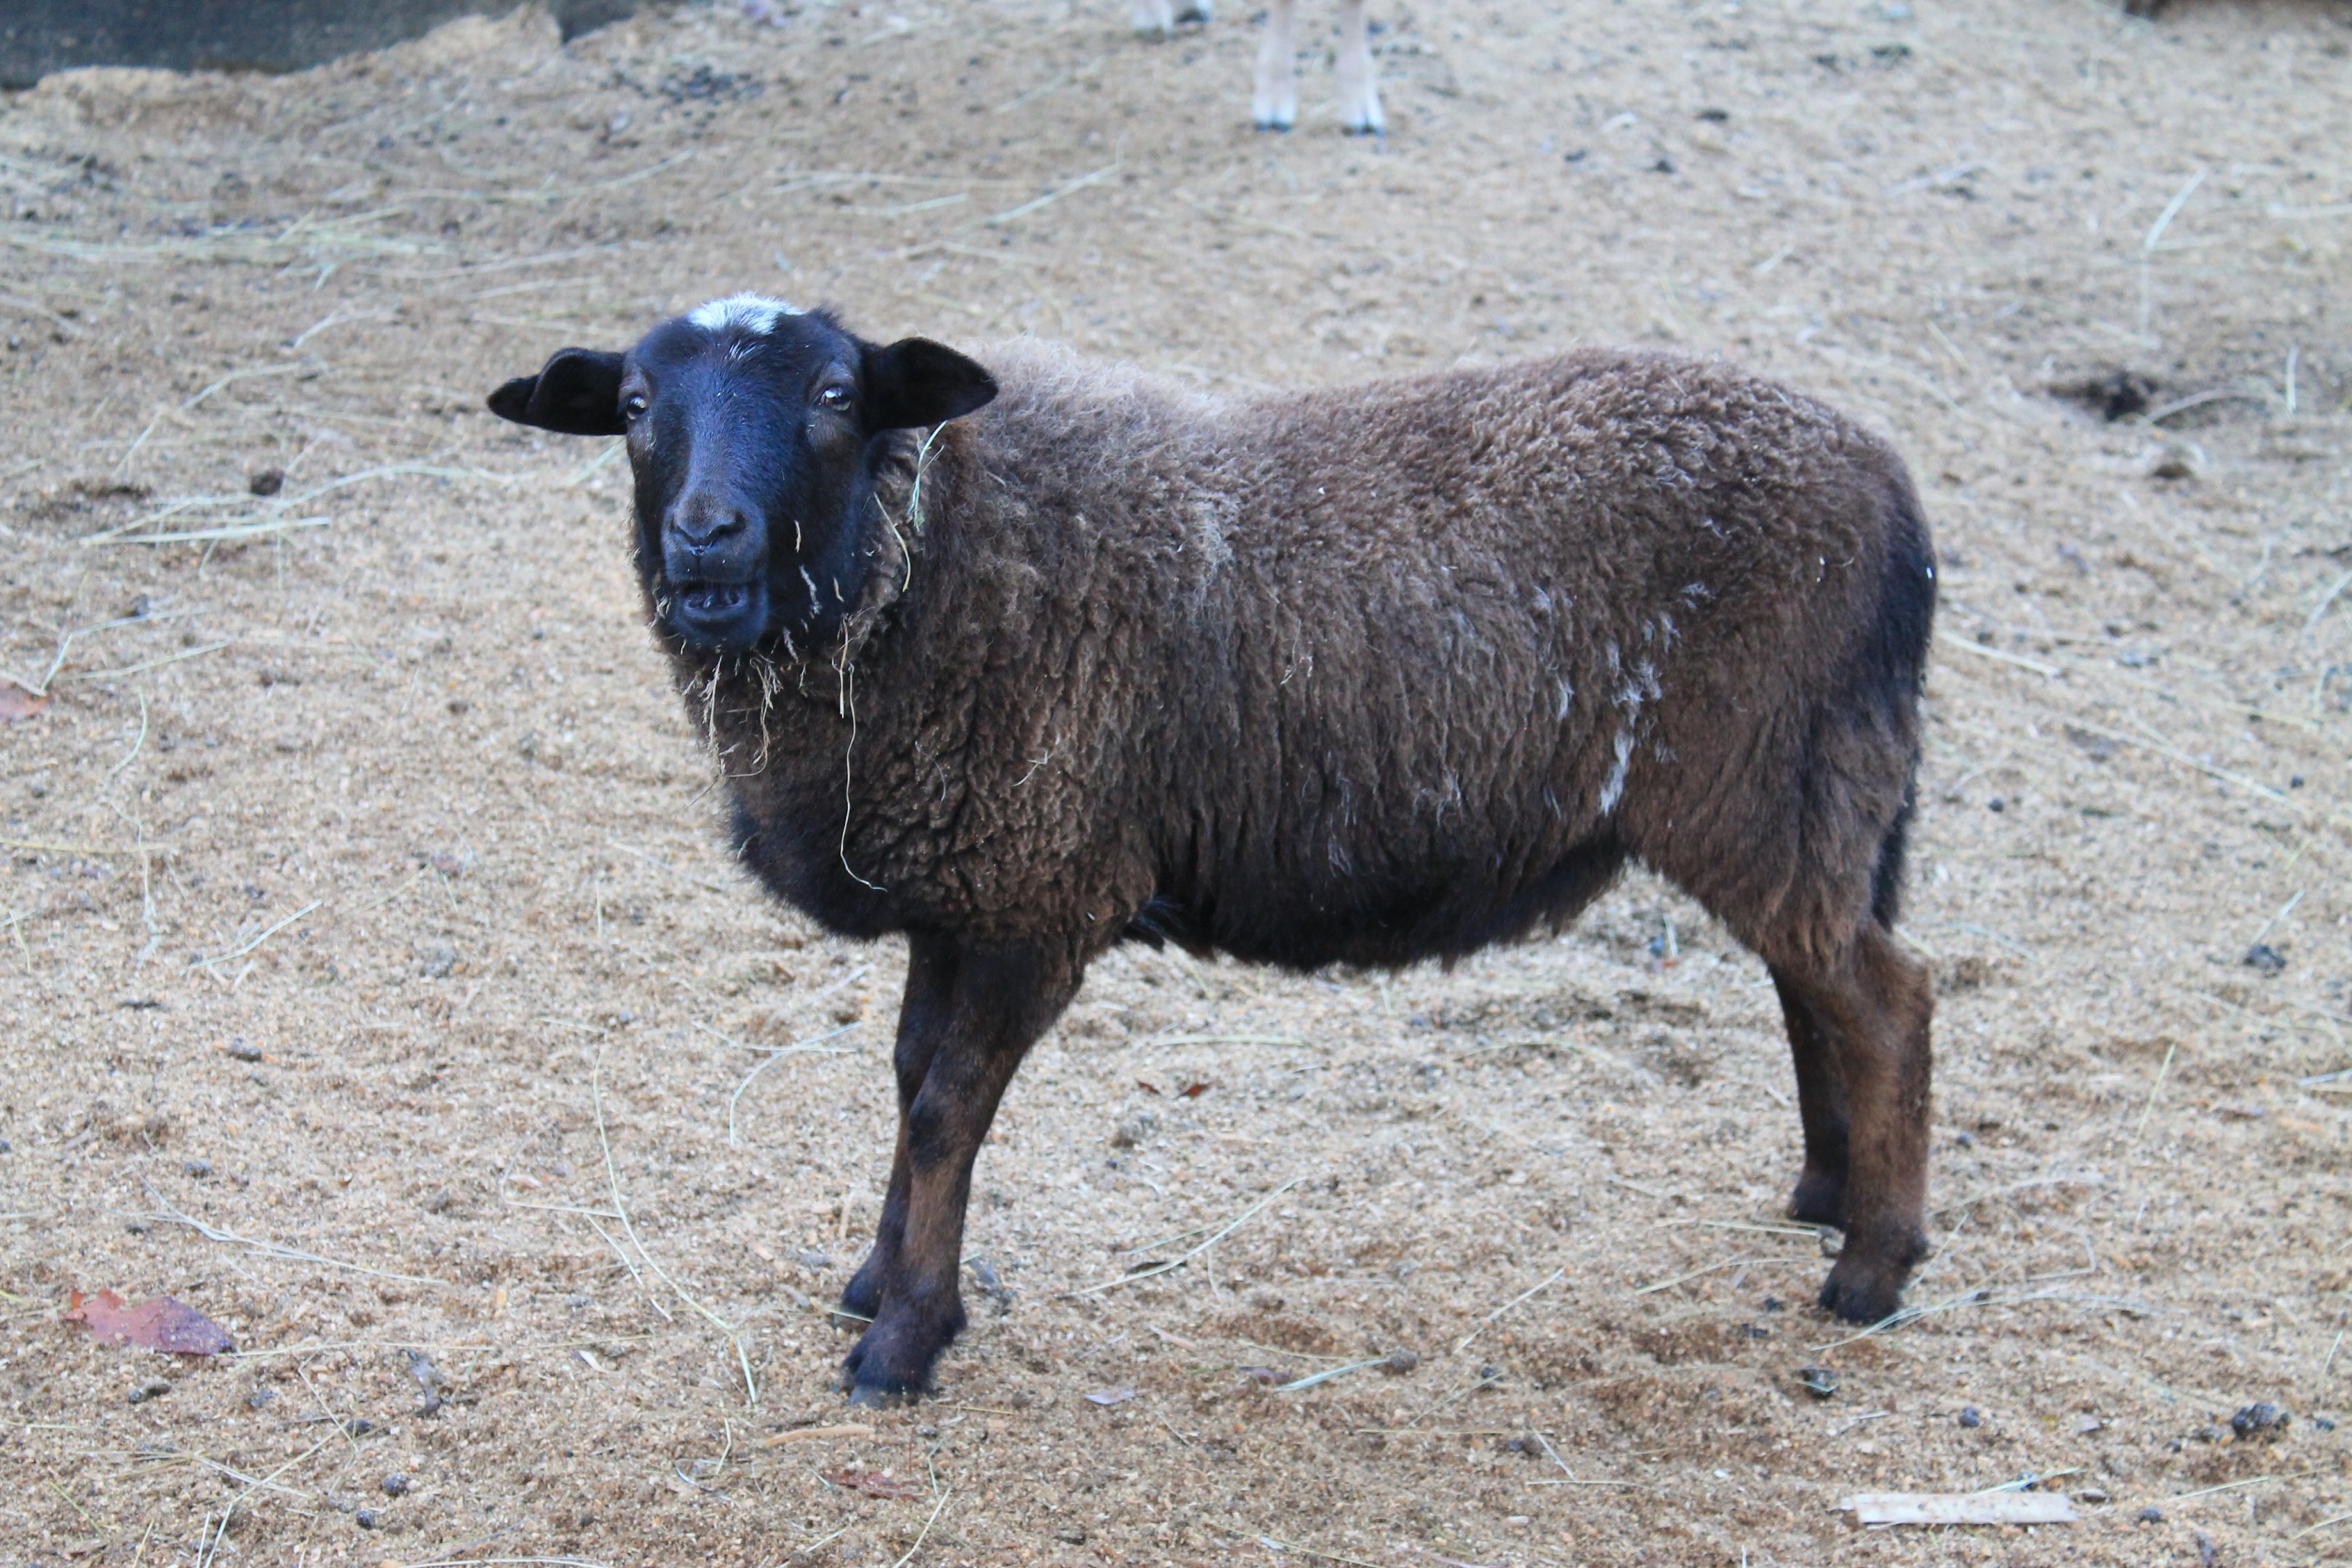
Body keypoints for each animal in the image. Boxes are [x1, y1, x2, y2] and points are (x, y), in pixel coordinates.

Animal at [488, 296, 1939, 1403]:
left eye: (839, 394)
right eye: (634, 406)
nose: (705, 538)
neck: (930, 558)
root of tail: (1892, 491)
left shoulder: (1041, 891)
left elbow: (949, 1106)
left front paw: (905, 1341)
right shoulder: (963, 890)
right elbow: (905, 1086)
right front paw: (876, 1281)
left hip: (1765, 784)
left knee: (1886, 999)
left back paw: (1872, 1268)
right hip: (1809, 799)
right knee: (1816, 984)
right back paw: (1825, 1191)